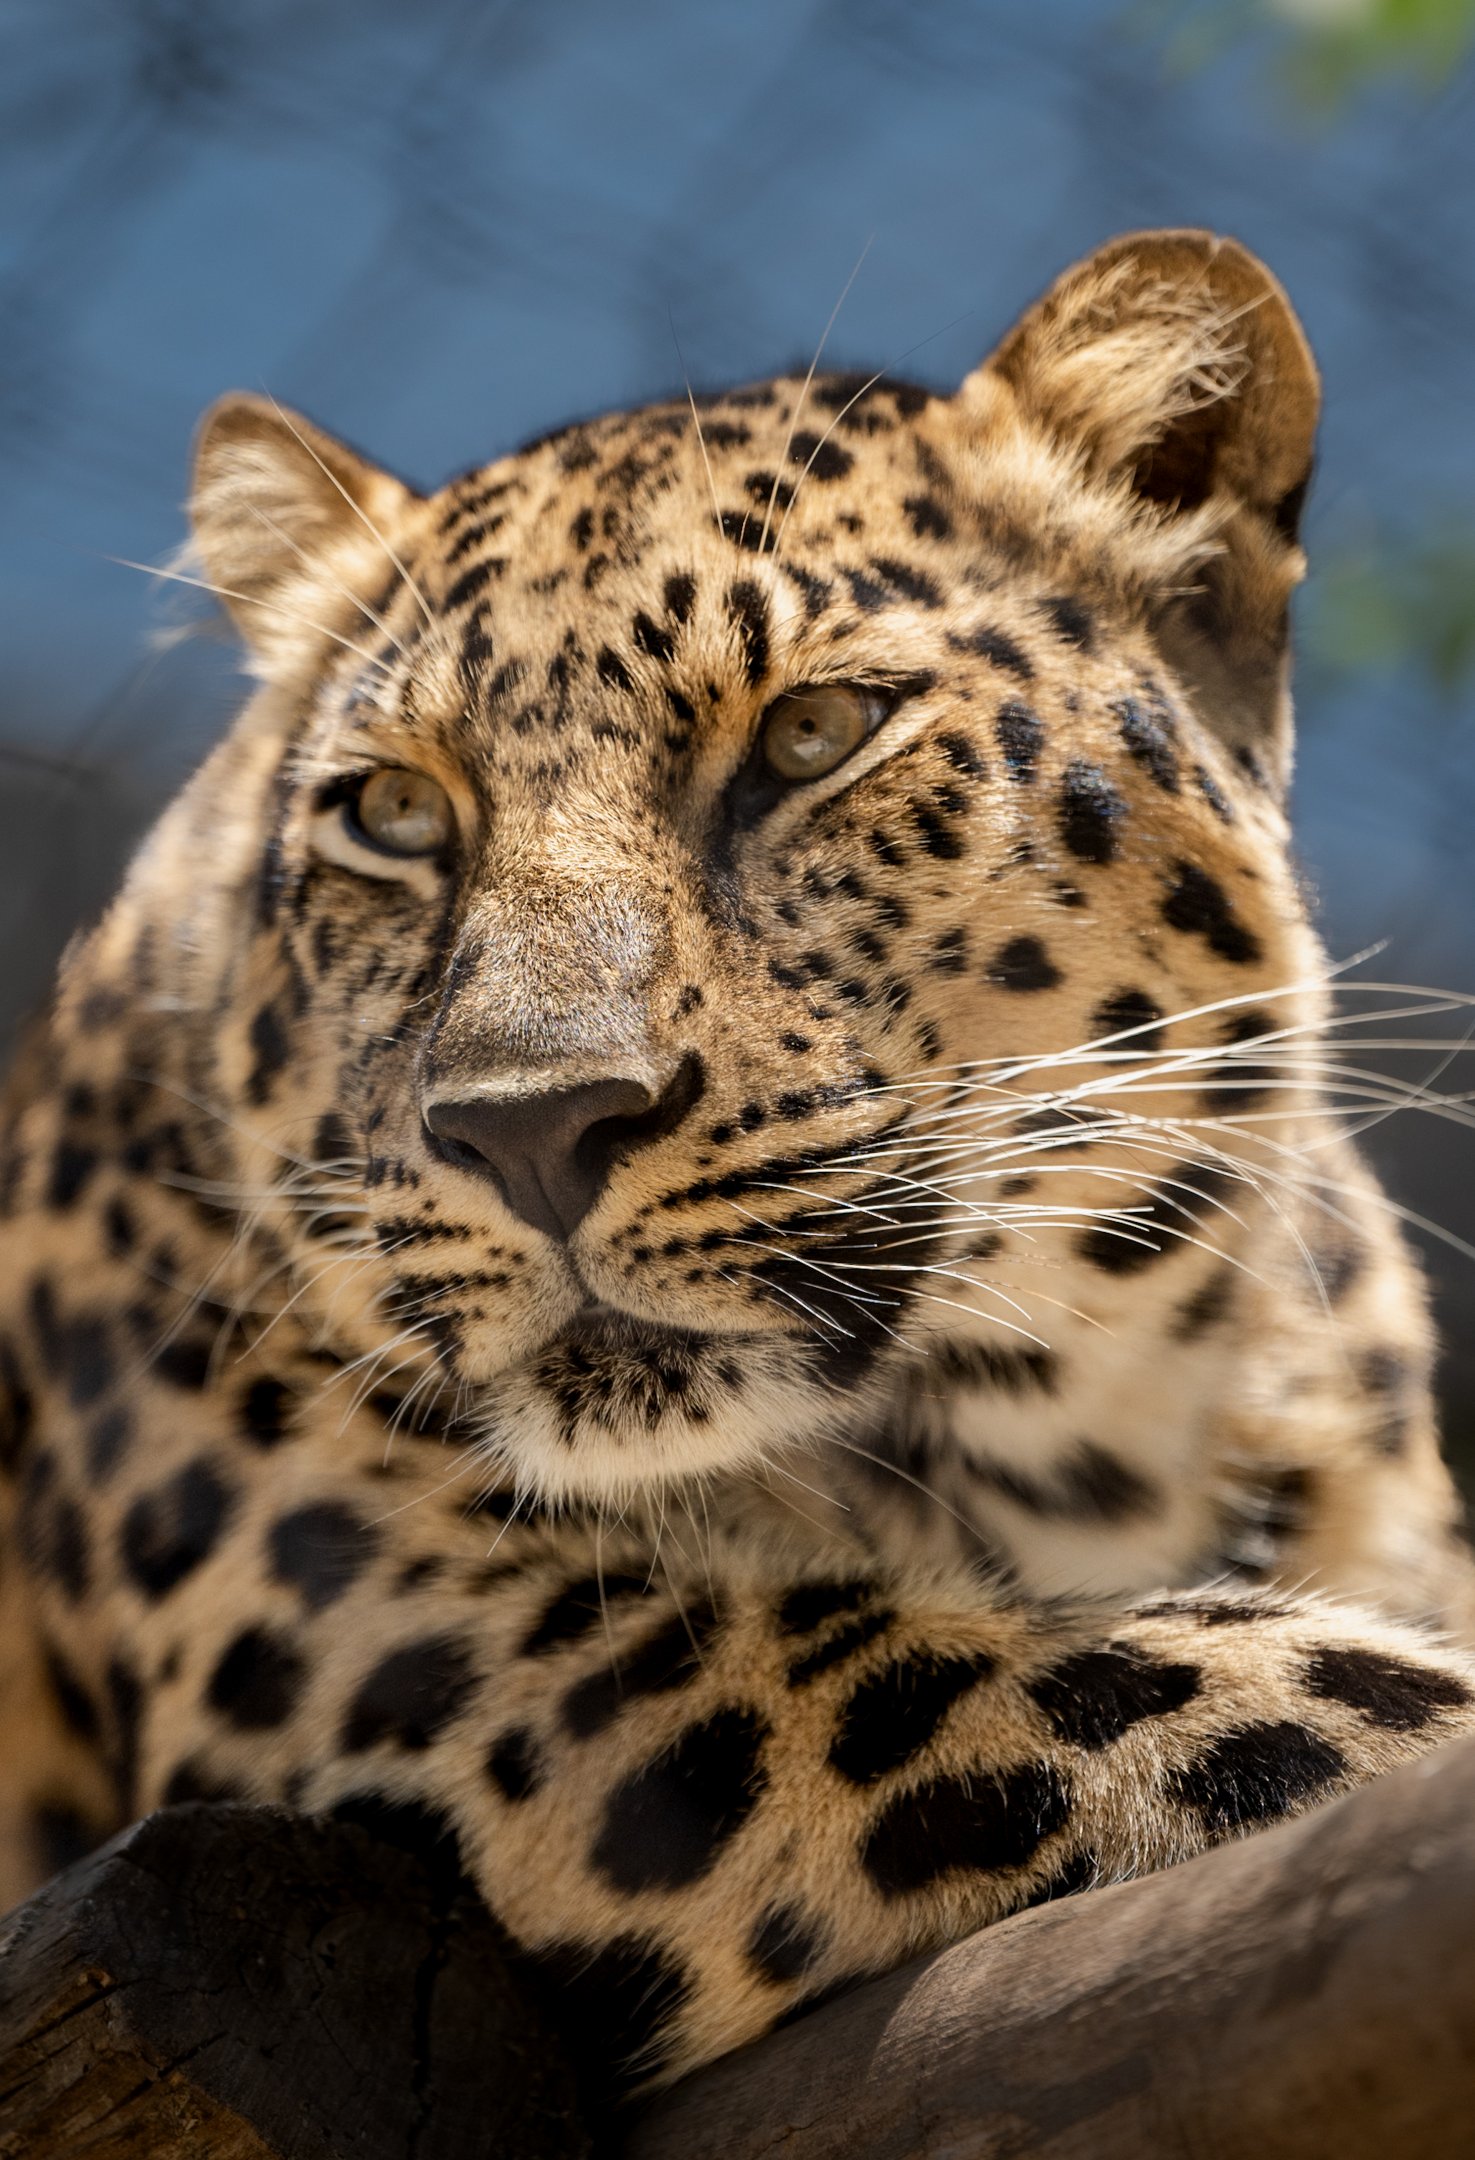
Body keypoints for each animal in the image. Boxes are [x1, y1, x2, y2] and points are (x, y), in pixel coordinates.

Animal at [4, 228, 1475, 2106]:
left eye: (813, 734)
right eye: (394, 816)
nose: (526, 1123)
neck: (1074, 1441)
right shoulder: (433, 1635)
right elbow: (1185, 1691)